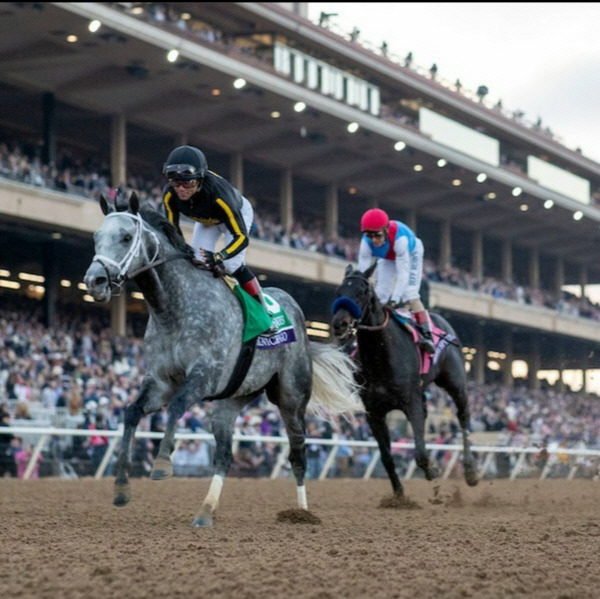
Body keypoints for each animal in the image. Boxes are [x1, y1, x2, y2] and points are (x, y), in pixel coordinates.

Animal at [82, 195, 358, 528]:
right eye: (96, 237)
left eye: (125, 237)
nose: (94, 281)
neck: (173, 309)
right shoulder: (160, 382)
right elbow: (132, 412)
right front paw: (122, 486)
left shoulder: (204, 375)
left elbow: (176, 407)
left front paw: (162, 463)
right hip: (232, 400)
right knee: (225, 455)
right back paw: (205, 511)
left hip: (291, 399)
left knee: (298, 454)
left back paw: (302, 513)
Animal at [328, 266, 478, 496]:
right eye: (339, 291)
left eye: (362, 292)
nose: (339, 324)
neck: (381, 356)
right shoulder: (374, 411)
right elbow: (386, 457)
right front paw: (399, 494)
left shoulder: (411, 402)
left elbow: (420, 454)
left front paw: (433, 473)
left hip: (455, 383)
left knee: (463, 417)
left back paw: (470, 471)